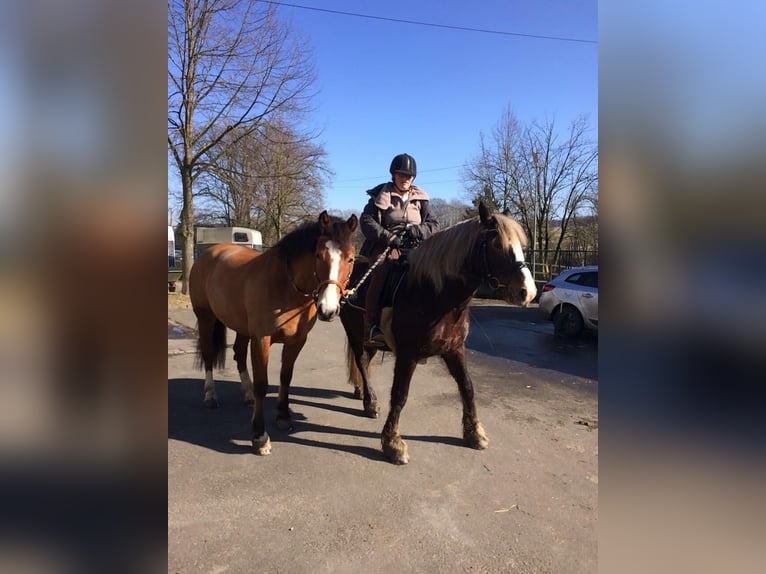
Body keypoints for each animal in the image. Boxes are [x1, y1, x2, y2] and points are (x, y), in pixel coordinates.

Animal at [192, 210, 360, 454]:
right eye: (319, 255)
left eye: (351, 259)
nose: (328, 310)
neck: (286, 285)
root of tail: (209, 253)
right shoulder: (261, 339)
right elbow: (263, 385)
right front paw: (259, 436)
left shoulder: (296, 341)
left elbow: (285, 378)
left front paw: (283, 417)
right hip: (206, 317)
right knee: (208, 354)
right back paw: (210, 395)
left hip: (243, 328)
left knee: (239, 354)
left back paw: (247, 395)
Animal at [342, 202, 540, 464]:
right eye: (497, 244)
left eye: (522, 246)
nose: (528, 292)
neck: (436, 295)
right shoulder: (407, 355)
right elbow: (400, 395)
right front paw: (393, 443)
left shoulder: (454, 350)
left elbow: (467, 387)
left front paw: (474, 433)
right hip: (354, 334)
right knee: (361, 362)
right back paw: (370, 401)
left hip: (369, 340)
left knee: (365, 361)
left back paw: (363, 393)